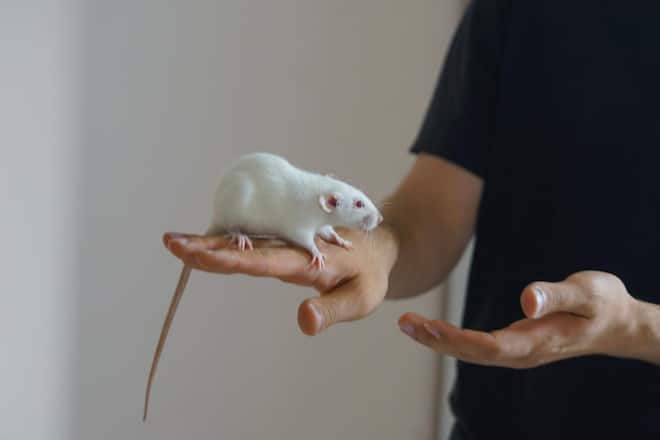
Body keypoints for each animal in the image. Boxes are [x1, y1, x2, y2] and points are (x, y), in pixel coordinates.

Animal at [143, 152, 382, 421]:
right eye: (359, 204)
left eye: (361, 197)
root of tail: (216, 215)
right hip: (236, 208)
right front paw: (317, 252)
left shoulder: (321, 223)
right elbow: (304, 239)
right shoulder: (299, 224)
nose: (380, 218)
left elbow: (327, 231)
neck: (318, 191)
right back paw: (241, 235)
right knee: (232, 227)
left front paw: (340, 240)